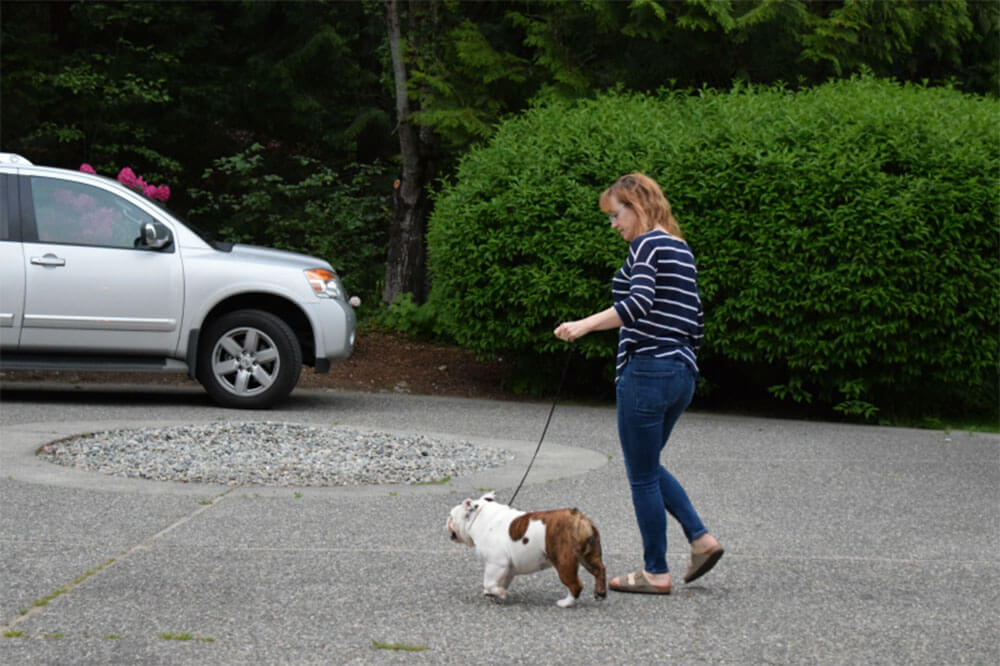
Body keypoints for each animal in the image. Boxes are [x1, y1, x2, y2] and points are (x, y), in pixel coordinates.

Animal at [448, 488, 604, 608]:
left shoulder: (496, 563)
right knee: (599, 570)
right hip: (589, 556)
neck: (481, 516)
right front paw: (496, 592)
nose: (447, 521)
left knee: (575, 585)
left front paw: (501, 593)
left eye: (451, 516)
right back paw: (600, 592)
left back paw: (566, 603)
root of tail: (579, 518)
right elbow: (501, 581)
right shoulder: (507, 568)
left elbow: (489, 581)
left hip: (564, 563)